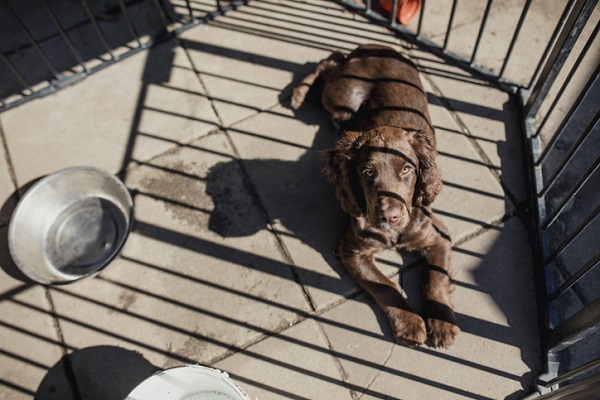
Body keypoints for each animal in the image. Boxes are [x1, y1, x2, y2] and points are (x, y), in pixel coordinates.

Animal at [292, 43, 458, 346]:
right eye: (368, 172)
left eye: (407, 169)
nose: (389, 216)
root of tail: (375, 46)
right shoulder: (351, 249)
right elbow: (384, 285)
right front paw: (410, 323)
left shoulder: (438, 236)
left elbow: (436, 278)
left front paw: (442, 323)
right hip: (344, 96)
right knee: (329, 62)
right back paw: (299, 93)